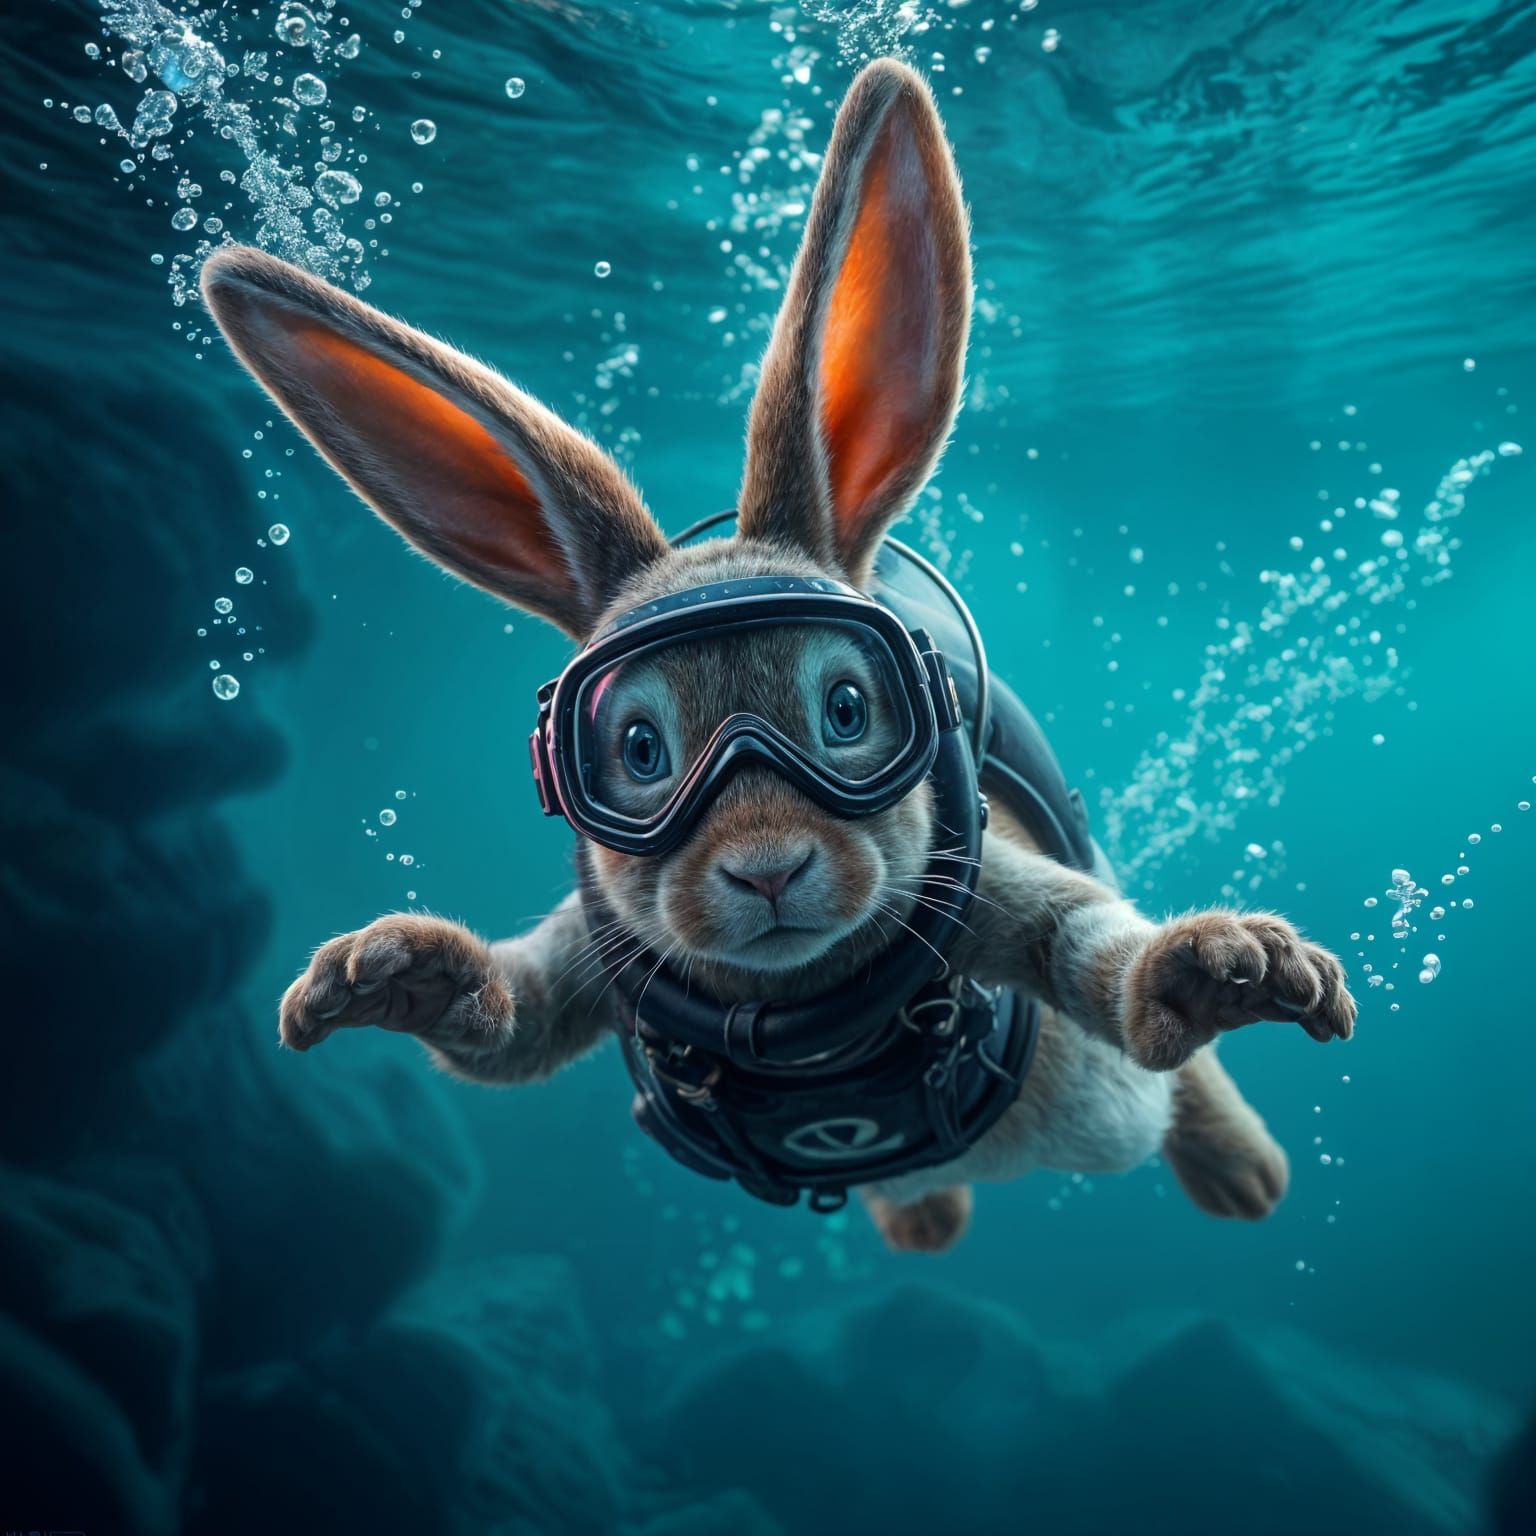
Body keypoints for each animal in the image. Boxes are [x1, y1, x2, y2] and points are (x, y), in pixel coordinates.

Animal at [200, 57, 1354, 1254]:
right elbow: (512, 1021)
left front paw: (1222, 968)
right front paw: (389, 973)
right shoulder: (592, 959)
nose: (766, 870)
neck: (801, 1012)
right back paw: (925, 1215)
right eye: (641, 749)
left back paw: (1241, 1168)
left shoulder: (998, 891)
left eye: (846, 711)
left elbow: (1101, 961)